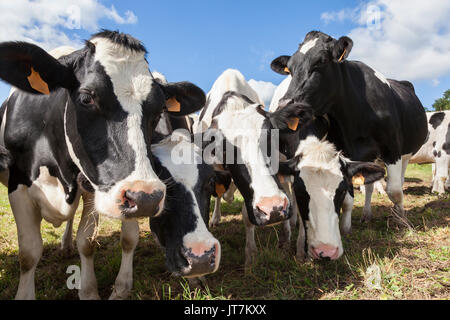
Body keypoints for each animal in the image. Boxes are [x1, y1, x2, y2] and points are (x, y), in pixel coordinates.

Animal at [0, 30, 206, 300]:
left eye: (160, 108)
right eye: (86, 98)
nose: (146, 197)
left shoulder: (94, 188)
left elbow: (89, 241)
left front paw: (94, 290)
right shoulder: (19, 185)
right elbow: (28, 253)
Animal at [268, 31, 428, 224]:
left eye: (321, 62)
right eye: (289, 69)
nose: (284, 105)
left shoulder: (392, 149)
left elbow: (395, 190)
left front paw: (401, 220)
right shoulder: (346, 154)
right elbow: (348, 198)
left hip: (405, 153)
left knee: (399, 181)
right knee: (369, 186)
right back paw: (366, 214)